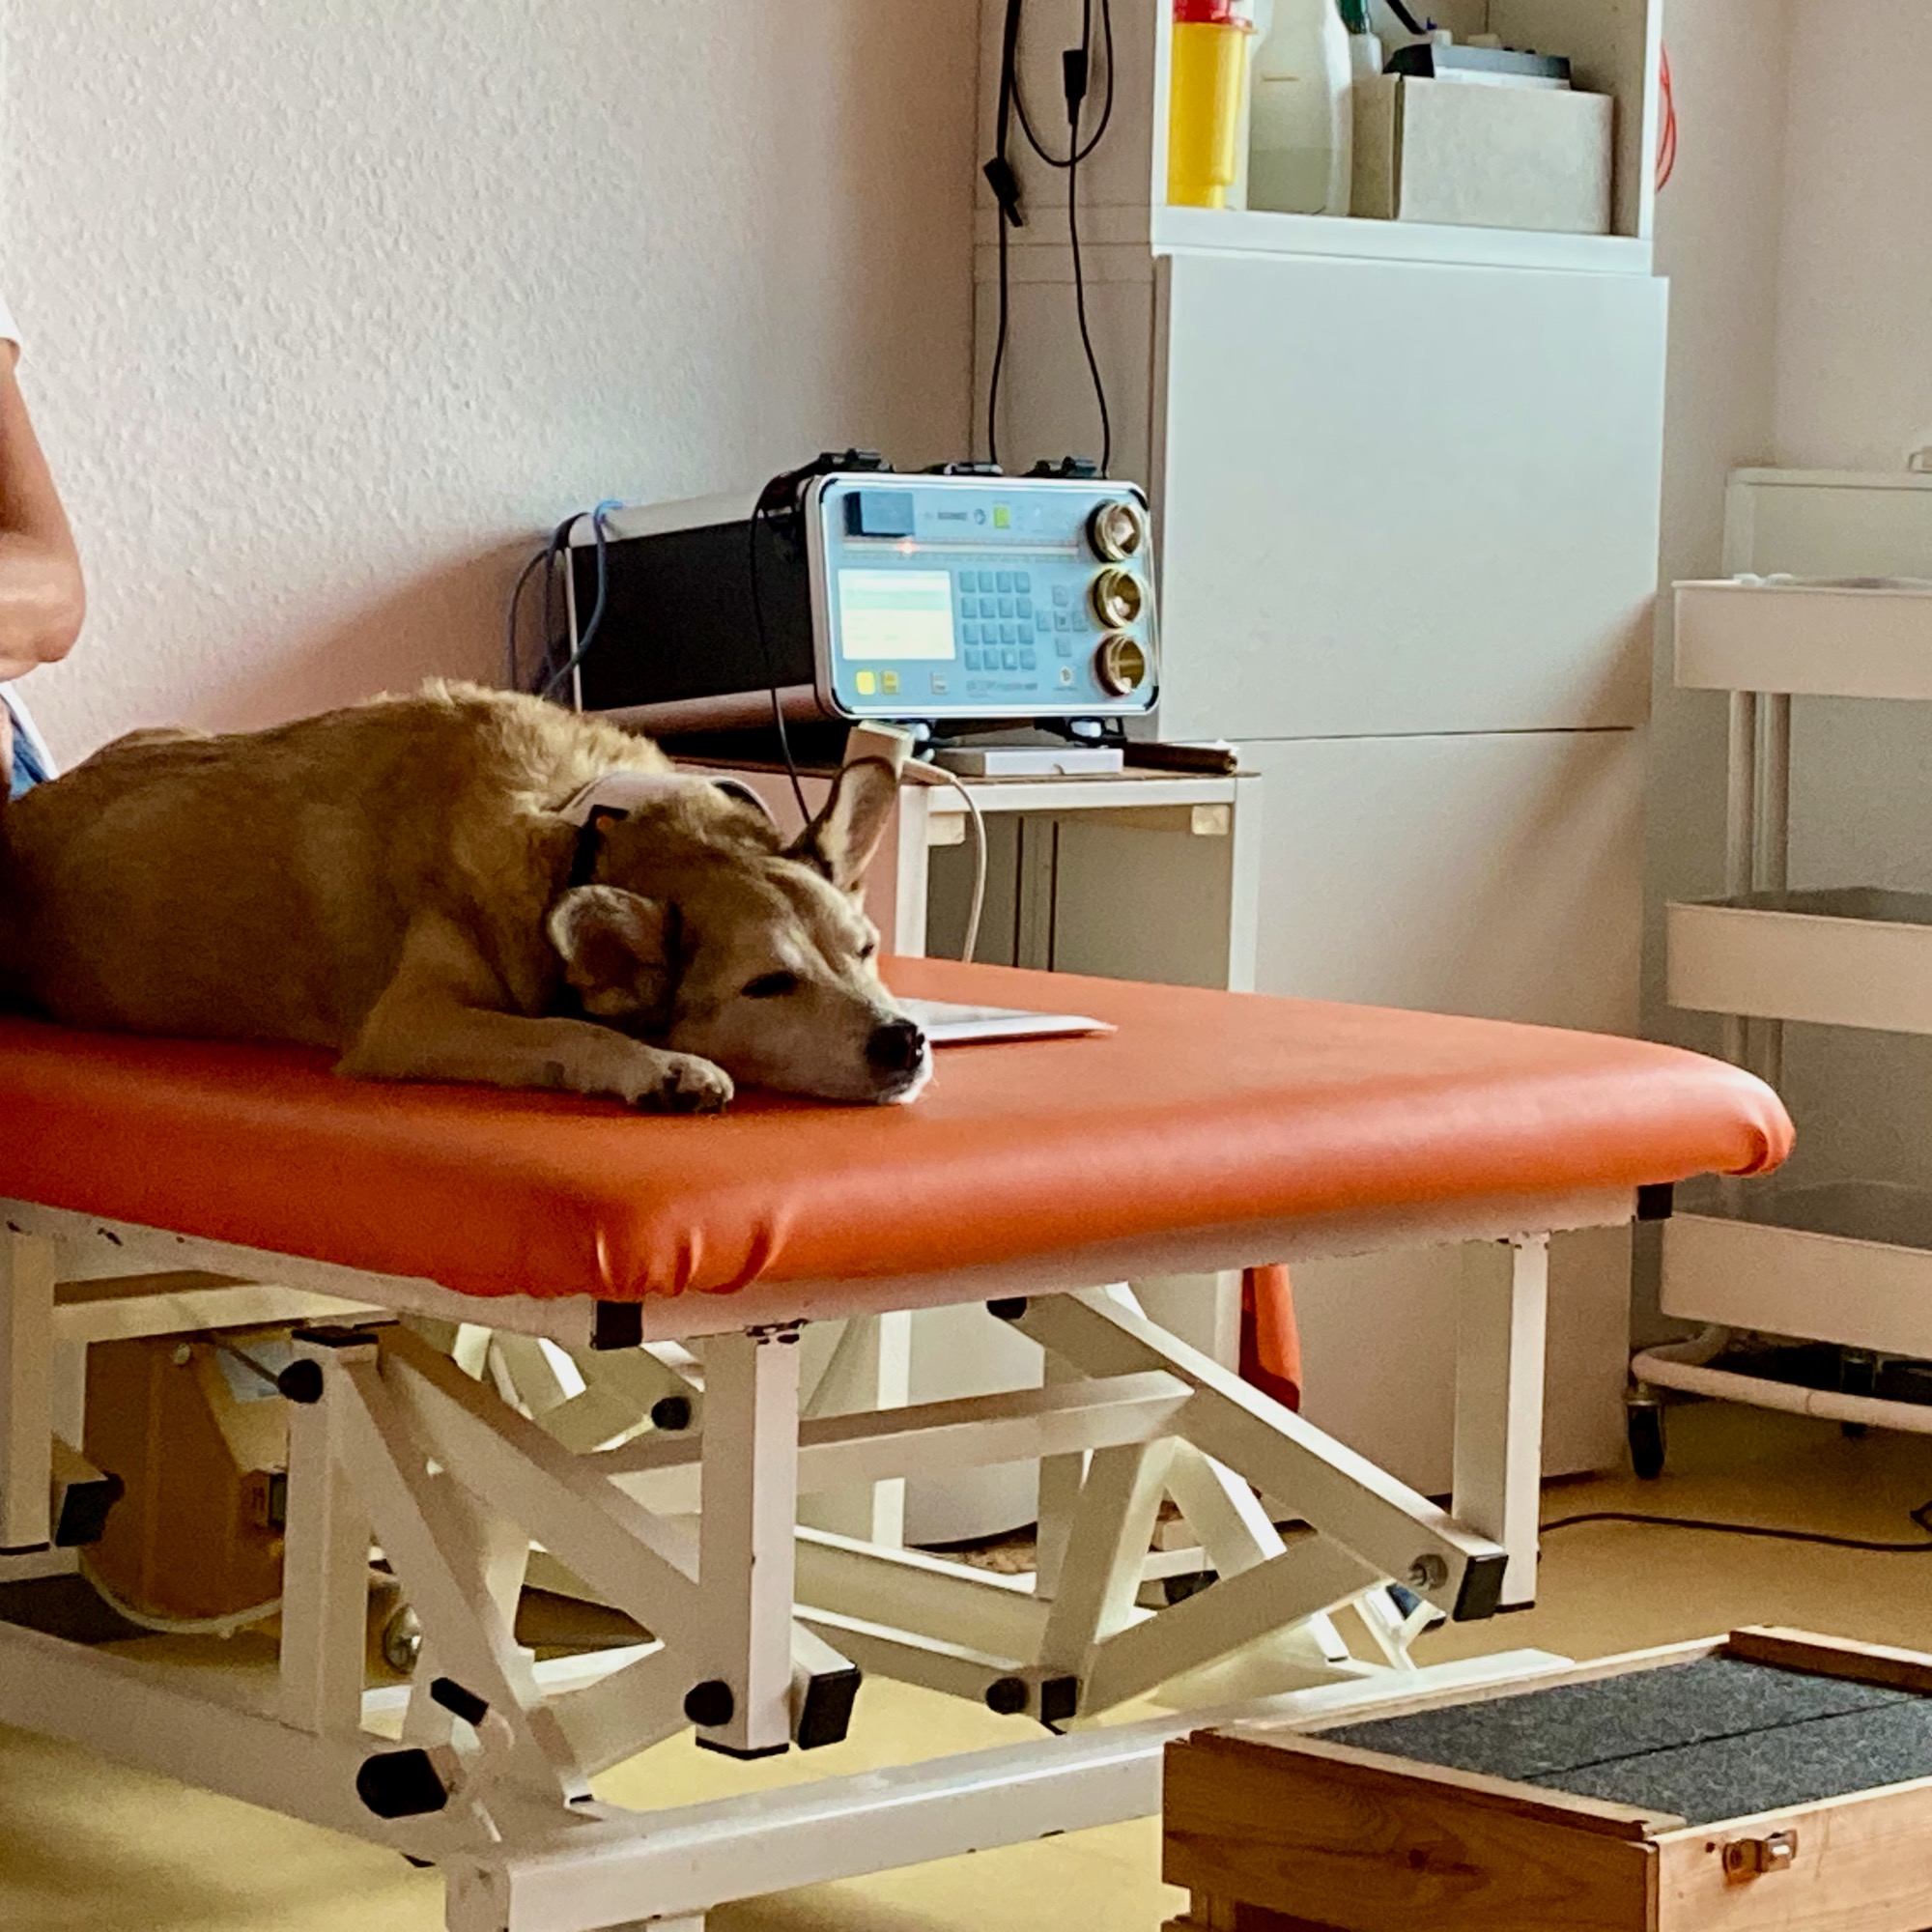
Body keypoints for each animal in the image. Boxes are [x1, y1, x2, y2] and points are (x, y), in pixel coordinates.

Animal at [0, 682, 930, 1110]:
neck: (579, 821)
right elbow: (562, 1028)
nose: (907, 1041)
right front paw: (655, 1065)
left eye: (866, 950)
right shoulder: (407, 1023)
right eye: (767, 984)